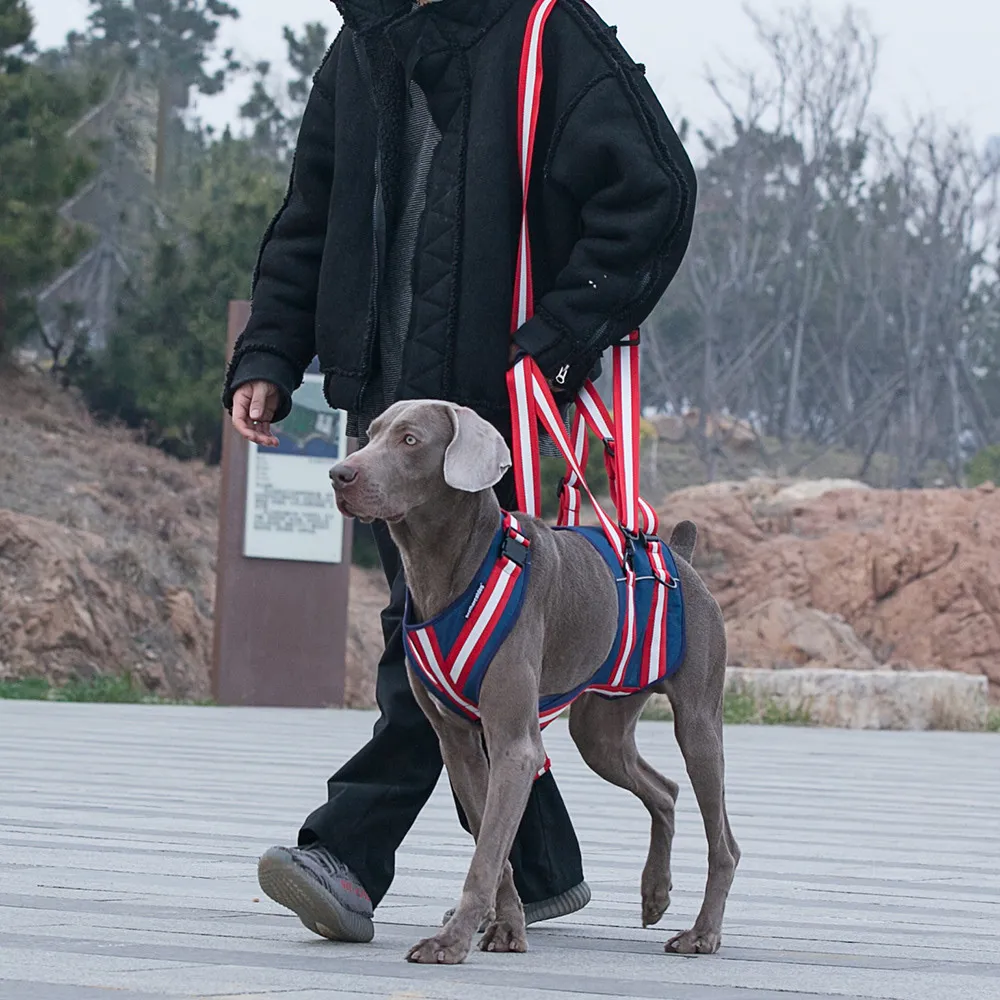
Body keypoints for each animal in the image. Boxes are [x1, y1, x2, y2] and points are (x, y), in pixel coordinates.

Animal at [332, 396, 740, 960]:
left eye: (410, 439)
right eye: (369, 433)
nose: (339, 474)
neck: (451, 573)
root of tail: (679, 553)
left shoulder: (514, 745)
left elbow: (486, 853)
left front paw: (450, 941)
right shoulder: (458, 743)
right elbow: (494, 848)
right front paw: (505, 929)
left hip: (699, 721)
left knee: (724, 840)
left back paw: (702, 932)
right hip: (600, 730)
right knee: (664, 789)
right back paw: (655, 893)